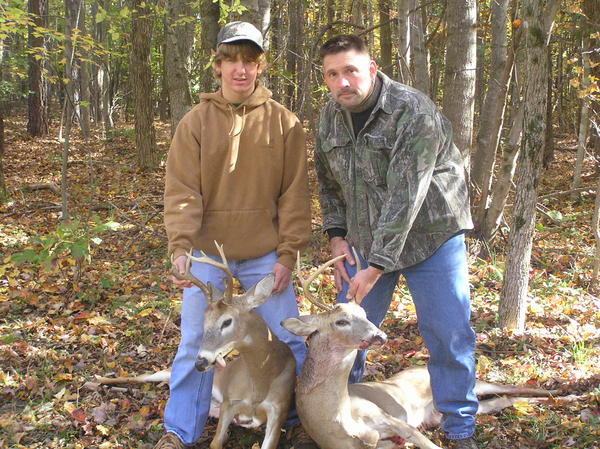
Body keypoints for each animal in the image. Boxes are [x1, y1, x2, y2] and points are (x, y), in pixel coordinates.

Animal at [95, 245, 298, 448]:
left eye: (227, 321)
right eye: (204, 320)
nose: (200, 362)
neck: (260, 382)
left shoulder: (278, 411)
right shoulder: (229, 401)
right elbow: (215, 443)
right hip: (166, 373)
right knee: (142, 376)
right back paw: (98, 379)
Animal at [282, 256, 556, 448]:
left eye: (364, 314)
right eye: (341, 321)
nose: (380, 336)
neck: (341, 419)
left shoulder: (392, 420)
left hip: (469, 385)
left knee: (507, 389)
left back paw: (559, 392)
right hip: (440, 415)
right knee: (505, 400)